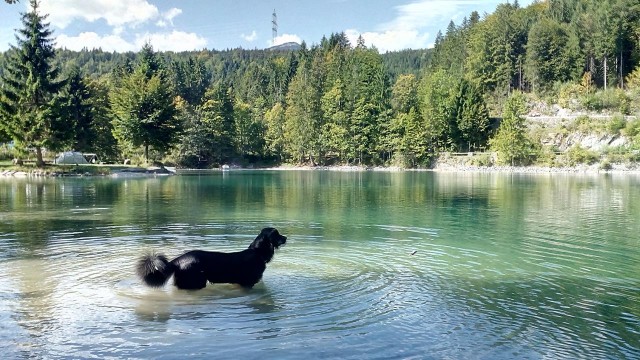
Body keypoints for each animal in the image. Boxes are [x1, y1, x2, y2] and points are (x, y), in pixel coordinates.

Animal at [138, 228, 288, 290]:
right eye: (276, 234)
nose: (286, 237)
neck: (257, 252)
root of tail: (177, 261)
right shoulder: (247, 283)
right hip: (196, 282)